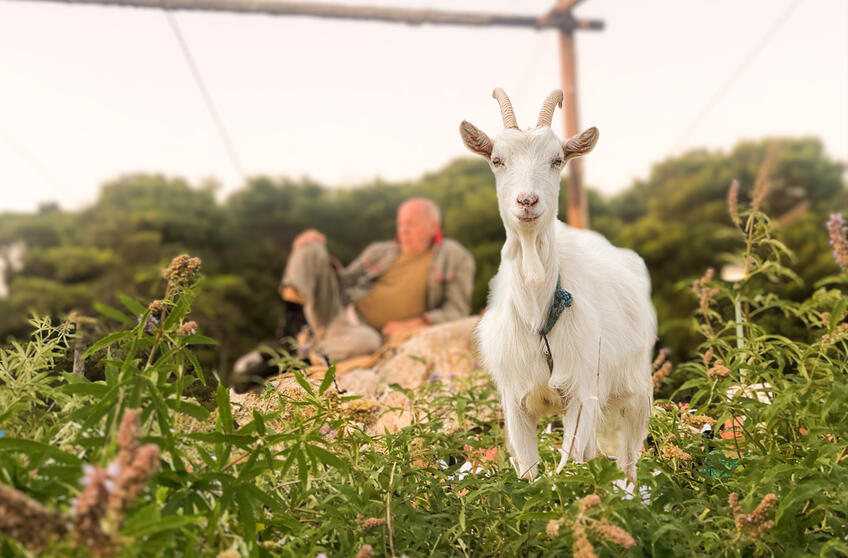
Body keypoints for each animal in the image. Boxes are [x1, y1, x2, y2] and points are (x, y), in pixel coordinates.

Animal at [464, 87, 656, 482]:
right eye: (496, 160)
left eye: (557, 159)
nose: (527, 201)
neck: (538, 311)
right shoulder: (514, 401)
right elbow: (529, 475)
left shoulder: (582, 393)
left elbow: (568, 470)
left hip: (635, 390)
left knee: (629, 460)